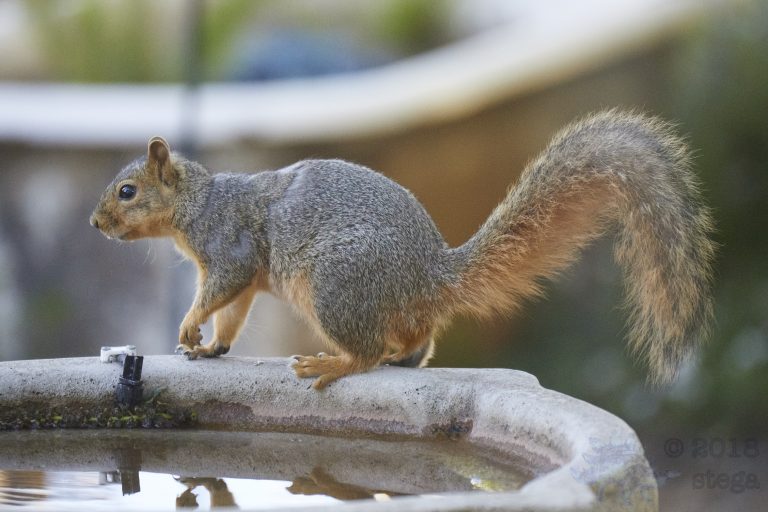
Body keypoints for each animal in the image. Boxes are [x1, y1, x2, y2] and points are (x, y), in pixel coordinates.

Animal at [90, 110, 715, 390]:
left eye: (127, 191)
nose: (95, 223)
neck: (197, 203)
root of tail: (429, 275)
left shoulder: (229, 246)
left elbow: (221, 289)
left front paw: (189, 326)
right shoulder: (239, 274)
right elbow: (236, 312)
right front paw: (212, 346)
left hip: (336, 285)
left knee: (365, 352)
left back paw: (331, 362)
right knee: (415, 342)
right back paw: (398, 355)